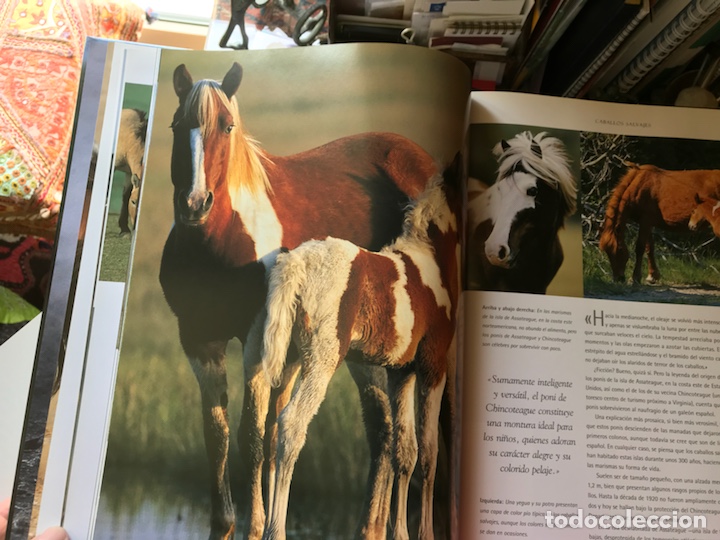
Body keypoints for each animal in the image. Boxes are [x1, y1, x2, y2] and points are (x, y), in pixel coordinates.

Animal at [257, 170, 459, 540]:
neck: (430, 265)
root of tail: (296, 263)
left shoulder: (401, 373)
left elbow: (404, 451)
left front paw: (400, 534)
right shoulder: (432, 365)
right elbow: (429, 453)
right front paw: (425, 533)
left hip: (289, 360)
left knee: (273, 428)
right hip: (321, 360)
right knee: (292, 425)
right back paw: (276, 530)